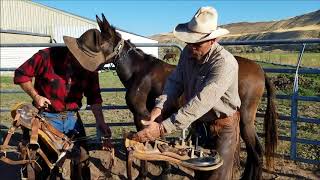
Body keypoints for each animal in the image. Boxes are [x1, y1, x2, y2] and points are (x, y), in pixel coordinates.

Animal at [95, 14, 278, 180]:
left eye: (99, 42)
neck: (139, 72)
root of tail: (261, 71)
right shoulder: (153, 117)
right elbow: (157, 142)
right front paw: (165, 170)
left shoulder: (141, 116)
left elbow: (142, 146)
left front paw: (143, 174)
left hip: (245, 120)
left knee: (257, 152)